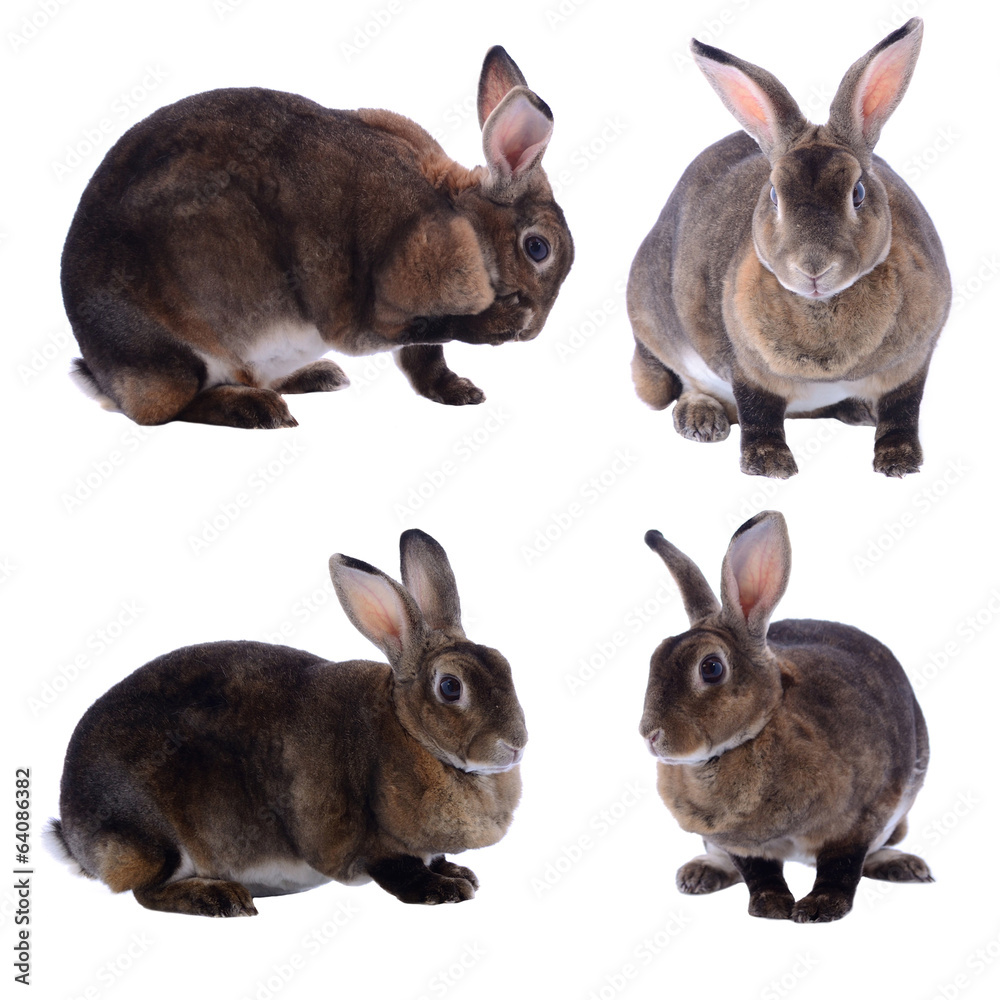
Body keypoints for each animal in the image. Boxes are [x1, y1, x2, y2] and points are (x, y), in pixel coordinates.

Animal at [45, 530, 527, 916]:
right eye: (450, 687)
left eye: (504, 664)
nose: (517, 744)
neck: (411, 733)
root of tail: (74, 830)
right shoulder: (377, 847)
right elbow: (401, 871)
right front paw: (446, 890)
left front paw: (461, 873)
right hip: (155, 837)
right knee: (146, 891)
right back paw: (221, 898)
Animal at [61, 46, 573, 428]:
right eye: (538, 248)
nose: (532, 331)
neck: (459, 213)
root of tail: (103, 375)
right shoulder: (376, 310)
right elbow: (435, 329)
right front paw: (498, 324)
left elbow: (427, 362)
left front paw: (460, 393)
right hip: (172, 358)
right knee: (166, 410)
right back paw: (256, 410)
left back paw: (318, 376)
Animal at [627, 18, 949, 478]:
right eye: (775, 195)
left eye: (858, 193)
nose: (813, 267)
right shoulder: (749, 368)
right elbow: (759, 413)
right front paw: (770, 466)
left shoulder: (912, 363)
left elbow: (902, 411)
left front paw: (899, 463)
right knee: (689, 384)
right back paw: (701, 420)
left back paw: (858, 411)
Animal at [638, 511, 931, 922]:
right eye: (655, 657)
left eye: (711, 668)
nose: (650, 735)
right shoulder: (741, 843)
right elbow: (758, 872)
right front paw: (771, 906)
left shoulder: (857, 823)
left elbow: (841, 867)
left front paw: (819, 909)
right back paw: (699, 874)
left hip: (897, 817)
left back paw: (906, 867)